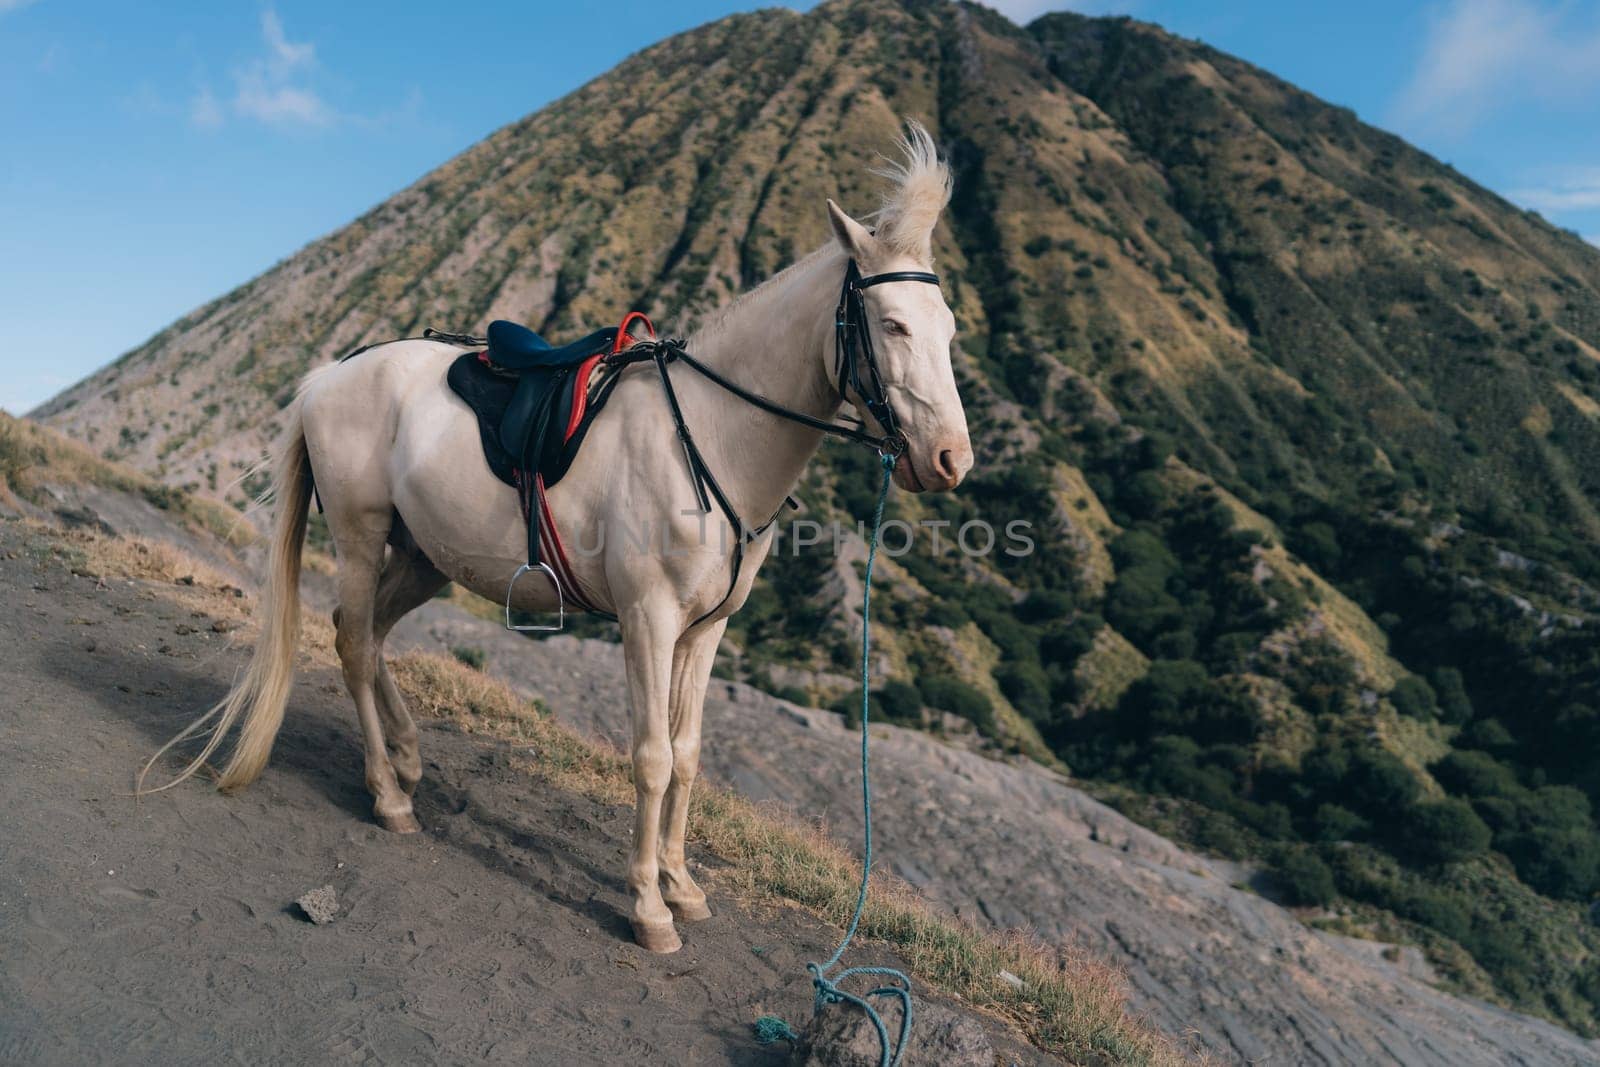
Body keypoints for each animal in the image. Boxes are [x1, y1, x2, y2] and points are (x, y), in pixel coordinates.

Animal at [152, 120, 972, 953]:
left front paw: (682, 884)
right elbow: (650, 758)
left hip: (425, 559)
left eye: (948, 329)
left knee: (372, 634)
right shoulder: (647, 620)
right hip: (359, 534)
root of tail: (332, 374)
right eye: (892, 323)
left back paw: (409, 759)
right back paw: (389, 793)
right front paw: (647, 906)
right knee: (353, 642)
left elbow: (687, 756)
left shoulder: (704, 631)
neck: (710, 431)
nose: (950, 459)